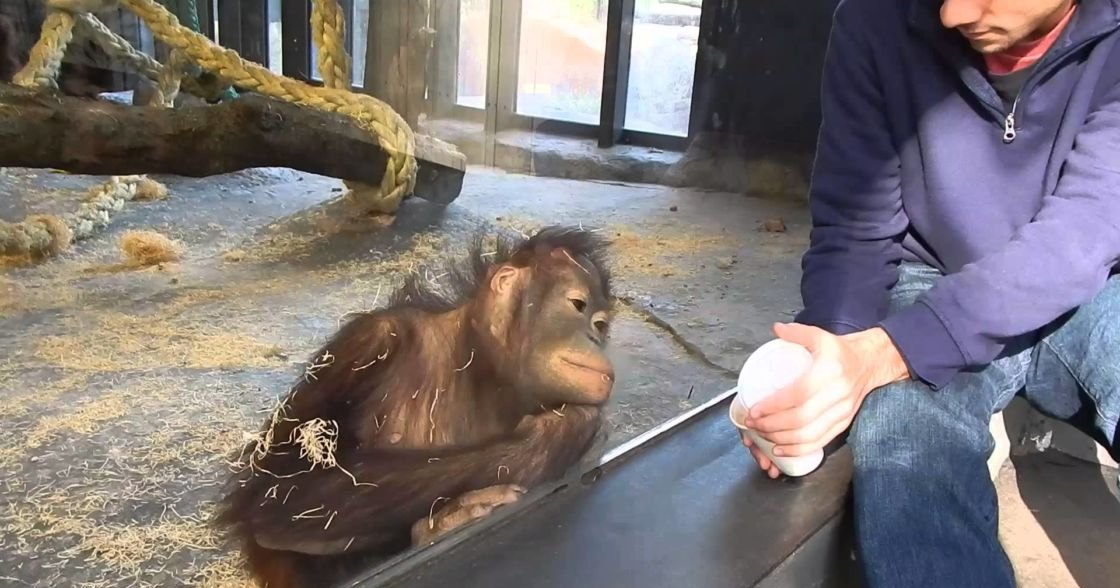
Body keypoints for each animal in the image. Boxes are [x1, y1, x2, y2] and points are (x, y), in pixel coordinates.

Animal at [214, 226, 618, 588]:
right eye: (577, 305)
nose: (594, 337)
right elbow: (282, 490)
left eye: (600, 325)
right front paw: (561, 431)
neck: (476, 362)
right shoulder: (367, 343)